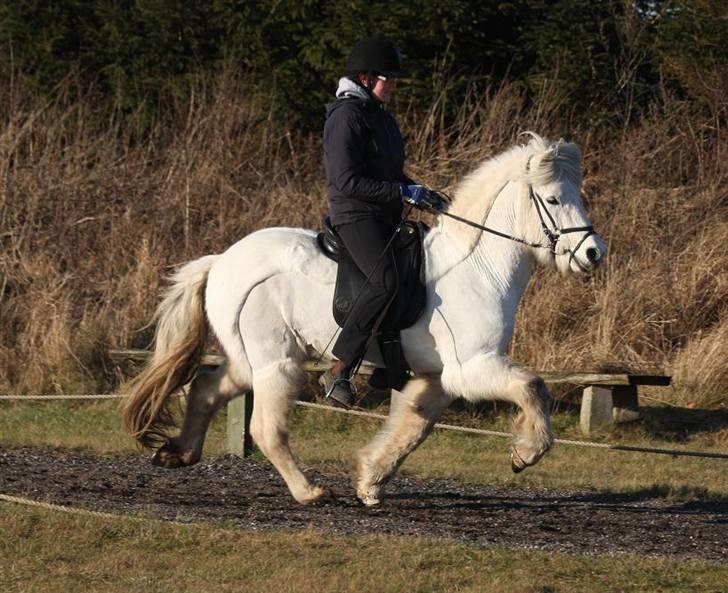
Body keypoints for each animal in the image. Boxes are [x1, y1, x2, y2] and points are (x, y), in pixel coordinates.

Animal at [122, 133, 604, 504]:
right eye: (554, 199)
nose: (593, 254)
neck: (477, 267)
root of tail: (221, 260)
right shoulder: (473, 367)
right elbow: (533, 386)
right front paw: (527, 452)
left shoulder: (439, 377)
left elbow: (412, 428)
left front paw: (370, 481)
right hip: (277, 362)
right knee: (265, 428)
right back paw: (309, 492)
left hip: (248, 361)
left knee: (206, 388)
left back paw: (179, 453)